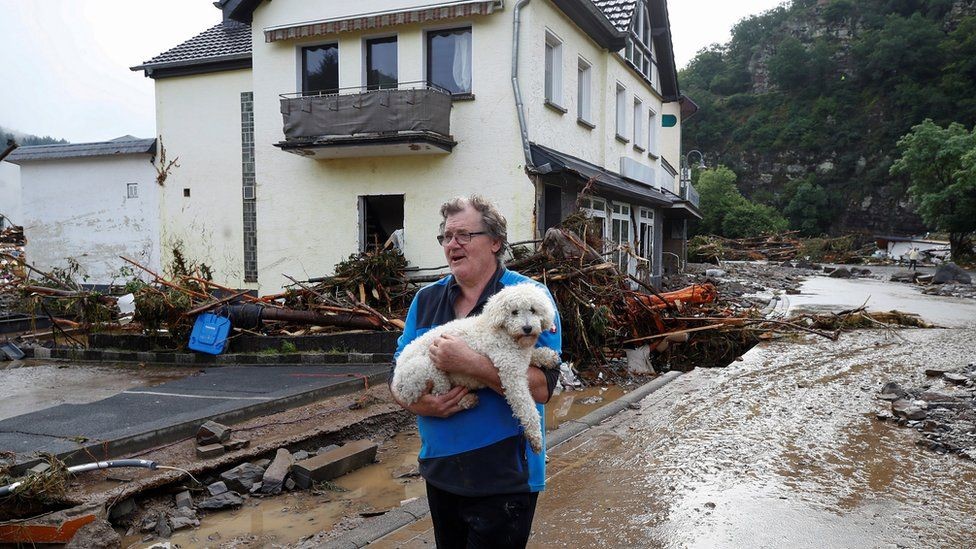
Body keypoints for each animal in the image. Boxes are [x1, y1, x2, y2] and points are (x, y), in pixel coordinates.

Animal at [390, 282, 560, 450]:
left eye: (533, 310)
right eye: (514, 312)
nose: (527, 328)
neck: (506, 334)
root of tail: (398, 384)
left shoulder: (521, 356)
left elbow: (533, 354)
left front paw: (548, 357)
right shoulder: (510, 372)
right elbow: (525, 405)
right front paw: (535, 436)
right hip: (426, 369)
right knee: (440, 395)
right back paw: (465, 399)